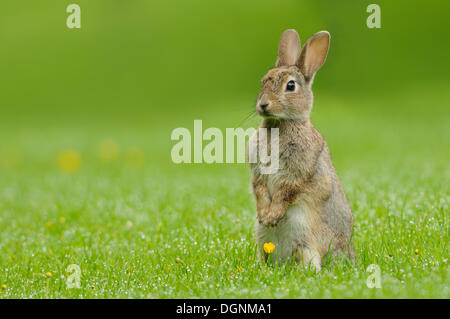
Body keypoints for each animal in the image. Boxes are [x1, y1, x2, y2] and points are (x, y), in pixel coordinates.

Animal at [248, 28, 354, 272]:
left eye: (290, 86)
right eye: (263, 81)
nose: (263, 104)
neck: (280, 123)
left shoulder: (298, 173)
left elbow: (285, 193)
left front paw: (272, 216)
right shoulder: (258, 172)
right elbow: (260, 190)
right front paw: (264, 215)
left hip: (307, 242)